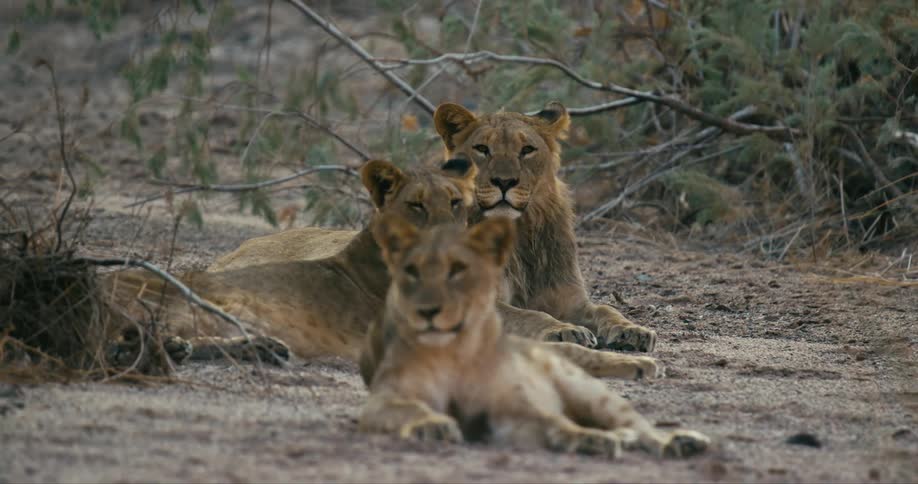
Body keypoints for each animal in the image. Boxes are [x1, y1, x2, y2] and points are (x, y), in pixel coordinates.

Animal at [206, 102, 657, 353]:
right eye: (482, 148)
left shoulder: (567, 294)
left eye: (527, 150)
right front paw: (565, 332)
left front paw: (632, 330)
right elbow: (529, 315)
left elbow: (605, 309)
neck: (519, 237)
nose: (504, 182)